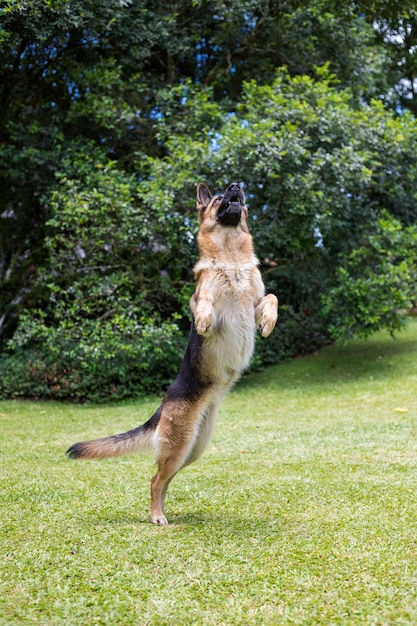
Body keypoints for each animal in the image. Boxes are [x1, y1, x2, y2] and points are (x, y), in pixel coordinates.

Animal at [67, 182, 276, 520]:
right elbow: (204, 301)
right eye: (219, 198)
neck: (231, 257)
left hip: (192, 449)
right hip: (179, 447)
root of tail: (163, 406)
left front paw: (270, 321)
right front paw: (201, 320)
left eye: (238, 198)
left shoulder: (255, 303)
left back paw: (162, 513)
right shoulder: (210, 305)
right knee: (155, 480)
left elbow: (272, 297)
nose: (236, 185)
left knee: (163, 481)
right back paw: (156, 516)